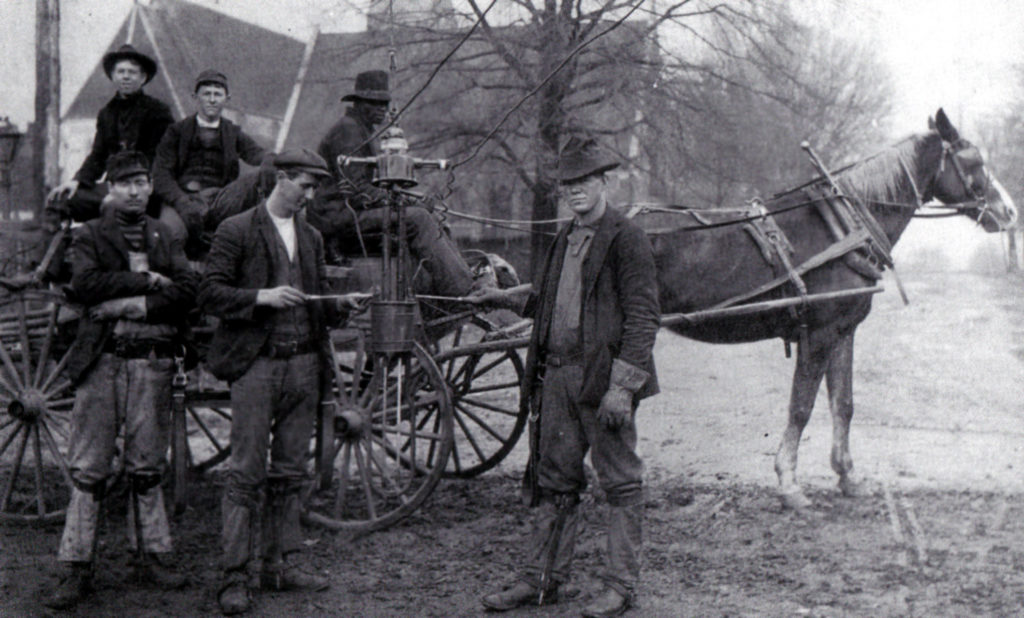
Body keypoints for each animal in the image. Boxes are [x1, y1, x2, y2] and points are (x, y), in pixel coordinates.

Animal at [638, 108, 1015, 509]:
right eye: (974, 161)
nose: (1009, 212)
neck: (846, 226)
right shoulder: (818, 335)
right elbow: (801, 407)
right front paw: (789, 483)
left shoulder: (843, 331)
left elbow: (843, 404)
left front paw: (847, 476)